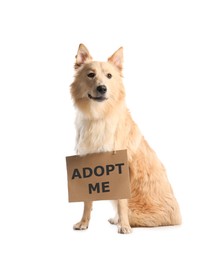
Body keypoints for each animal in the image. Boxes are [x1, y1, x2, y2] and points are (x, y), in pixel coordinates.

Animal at [70, 44, 181, 234]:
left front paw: (124, 226)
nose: (102, 88)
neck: (98, 116)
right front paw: (84, 223)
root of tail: (178, 217)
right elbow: (87, 201)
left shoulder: (122, 169)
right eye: (90, 74)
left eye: (109, 76)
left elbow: (122, 201)